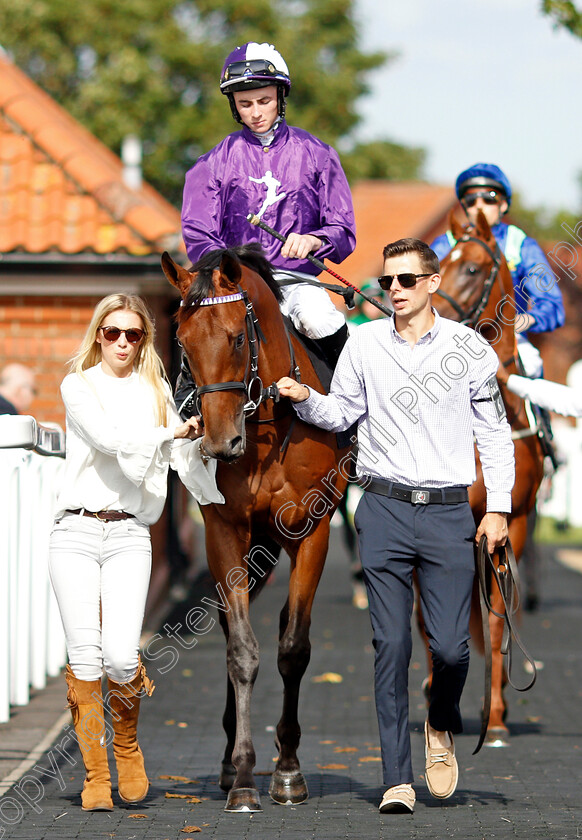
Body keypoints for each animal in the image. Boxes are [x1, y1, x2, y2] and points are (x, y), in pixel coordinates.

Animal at [160, 246, 352, 812]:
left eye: (237, 337)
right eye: (183, 343)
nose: (220, 443)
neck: (268, 421)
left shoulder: (313, 531)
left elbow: (294, 648)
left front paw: (287, 771)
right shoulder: (225, 532)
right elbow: (241, 650)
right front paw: (244, 775)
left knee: (290, 622)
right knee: (231, 626)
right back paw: (229, 764)